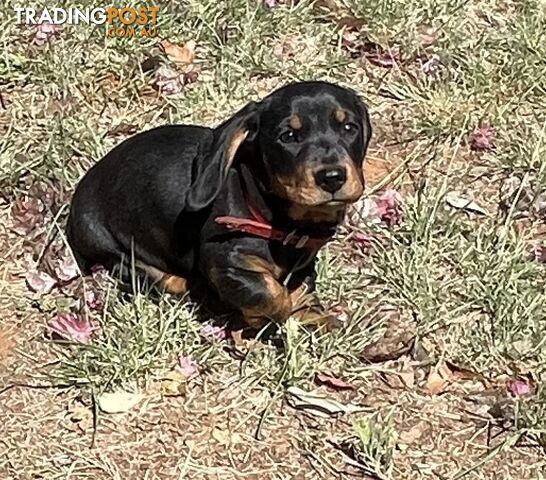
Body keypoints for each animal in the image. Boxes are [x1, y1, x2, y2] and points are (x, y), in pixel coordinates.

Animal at [63, 81, 370, 330]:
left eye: (349, 127)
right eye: (288, 136)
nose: (332, 177)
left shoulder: (304, 260)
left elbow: (301, 286)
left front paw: (314, 315)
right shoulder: (224, 262)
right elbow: (270, 293)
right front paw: (266, 317)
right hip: (110, 244)